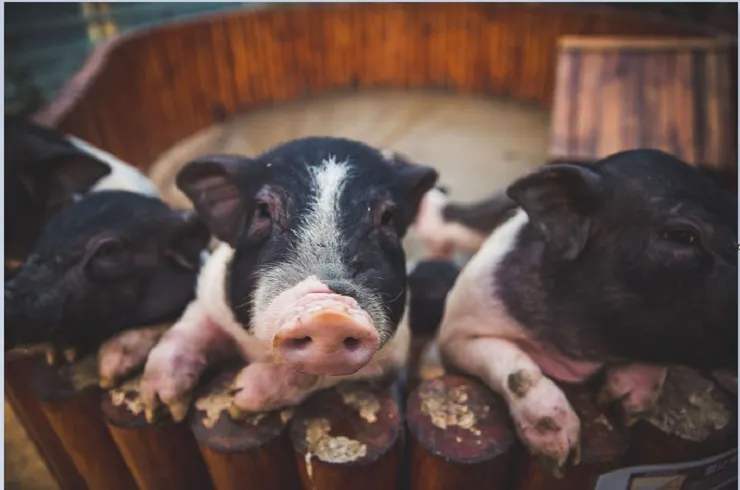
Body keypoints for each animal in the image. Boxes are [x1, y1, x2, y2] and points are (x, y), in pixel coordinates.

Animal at [99, 137, 438, 422]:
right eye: (262, 210)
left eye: (387, 218)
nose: (329, 314)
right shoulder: (209, 295)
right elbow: (186, 331)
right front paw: (157, 405)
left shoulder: (393, 355)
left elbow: (312, 375)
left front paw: (237, 396)